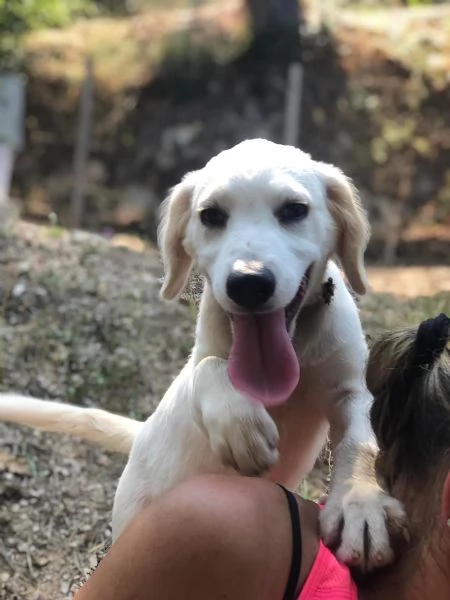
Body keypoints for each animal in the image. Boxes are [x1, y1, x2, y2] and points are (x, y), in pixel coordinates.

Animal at [0, 141, 406, 572]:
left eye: (295, 210)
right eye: (211, 215)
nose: (248, 283)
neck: (297, 342)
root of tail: (142, 434)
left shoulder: (353, 390)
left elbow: (360, 442)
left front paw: (359, 504)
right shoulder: (204, 357)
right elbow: (207, 368)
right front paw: (240, 425)